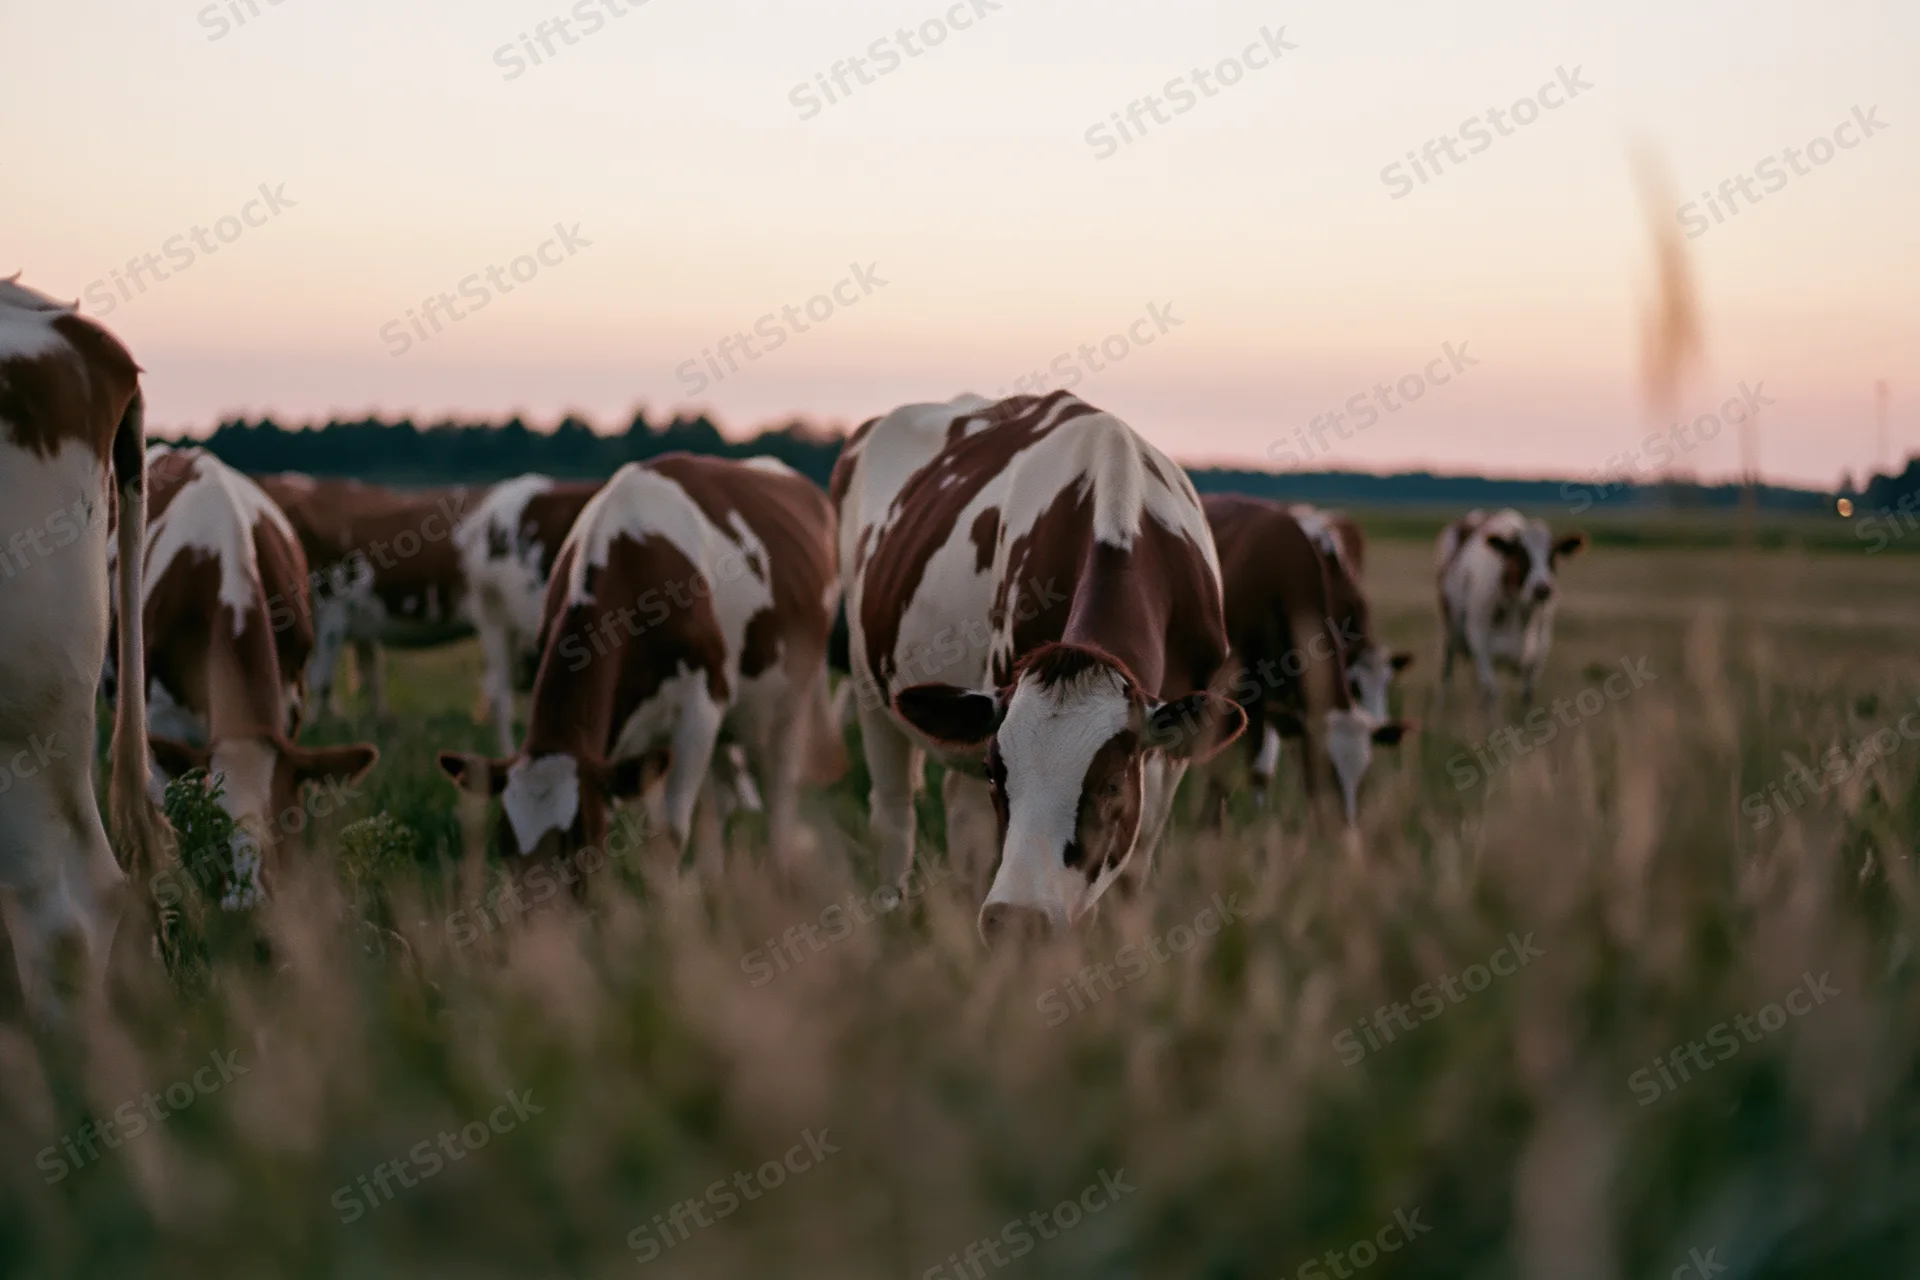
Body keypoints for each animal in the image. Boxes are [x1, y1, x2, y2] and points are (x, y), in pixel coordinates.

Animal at [436, 453, 844, 883]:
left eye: (579, 838)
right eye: (505, 844)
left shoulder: (700, 706)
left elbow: (670, 833)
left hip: (790, 699)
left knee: (780, 785)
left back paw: (778, 868)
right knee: (722, 796)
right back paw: (714, 876)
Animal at [834, 391, 1245, 941]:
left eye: (1111, 784)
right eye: (997, 774)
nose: (1016, 920)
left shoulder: (1171, 753)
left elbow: (1130, 875)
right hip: (869, 691)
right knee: (895, 818)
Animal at [1436, 508, 1586, 709]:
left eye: (1552, 554)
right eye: (1520, 553)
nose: (1542, 588)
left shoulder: (1540, 651)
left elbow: (1527, 694)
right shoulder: (1480, 643)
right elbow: (1491, 692)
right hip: (1449, 634)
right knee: (1446, 675)